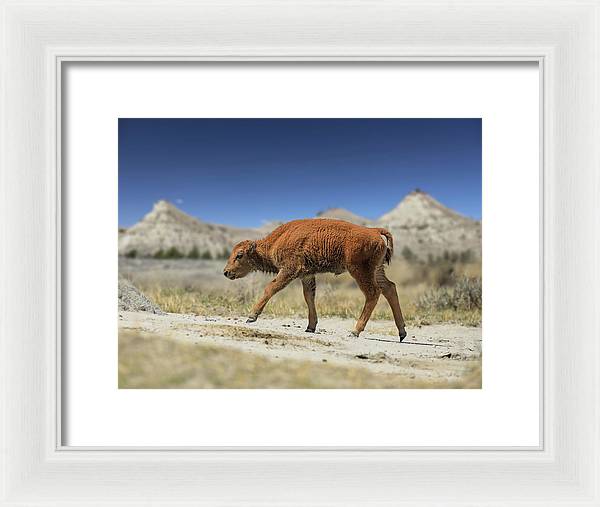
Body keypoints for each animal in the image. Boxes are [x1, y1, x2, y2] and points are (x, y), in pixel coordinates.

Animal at [224, 218, 408, 342]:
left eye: (239, 255)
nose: (226, 272)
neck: (276, 241)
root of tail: (374, 231)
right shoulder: (307, 275)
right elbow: (309, 297)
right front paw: (310, 327)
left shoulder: (289, 270)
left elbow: (271, 288)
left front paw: (251, 316)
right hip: (377, 270)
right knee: (389, 288)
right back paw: (402, 332)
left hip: (360, 271)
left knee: (373, 293)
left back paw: (355, 331)